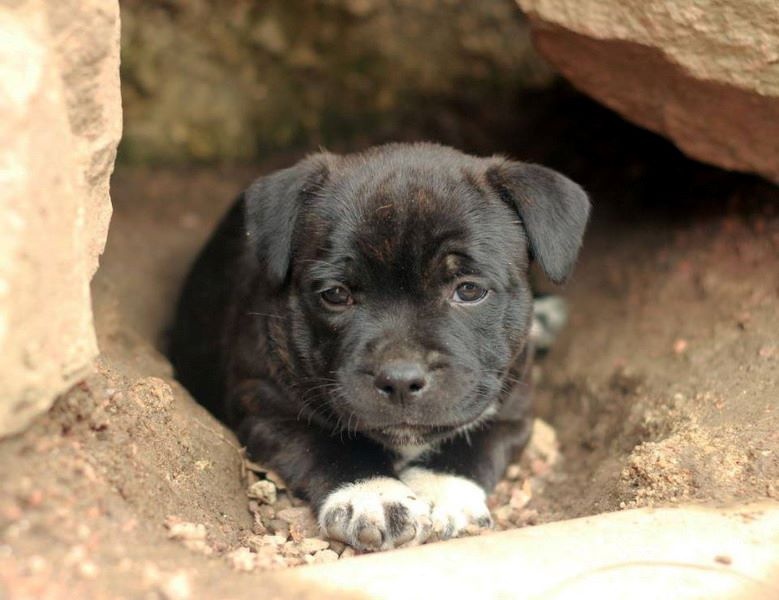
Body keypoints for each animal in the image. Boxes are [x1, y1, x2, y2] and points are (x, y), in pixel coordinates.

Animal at [170, 143, 589, 551]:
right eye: (335, 295)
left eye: (469, 290)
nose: (401, 379)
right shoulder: (266, 406)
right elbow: (329, 445)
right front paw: (374, 497)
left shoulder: (512, 407)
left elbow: (469, 444)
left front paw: (438, 493)